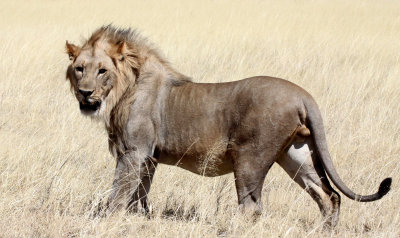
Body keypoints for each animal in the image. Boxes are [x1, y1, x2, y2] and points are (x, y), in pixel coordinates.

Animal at [65, 25, 390, 228]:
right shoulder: (149, 158)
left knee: (252, 207)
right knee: (328, 195)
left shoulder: (133, 152)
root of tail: (304, 95)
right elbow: (138, 196)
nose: (85, 93)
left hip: (249, 158)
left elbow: (118, 194)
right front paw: (137, 220)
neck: (123, 88)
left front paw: (108, 221)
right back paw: (325, 231)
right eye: (79, 68)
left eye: (102, 70)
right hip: (297, 154)